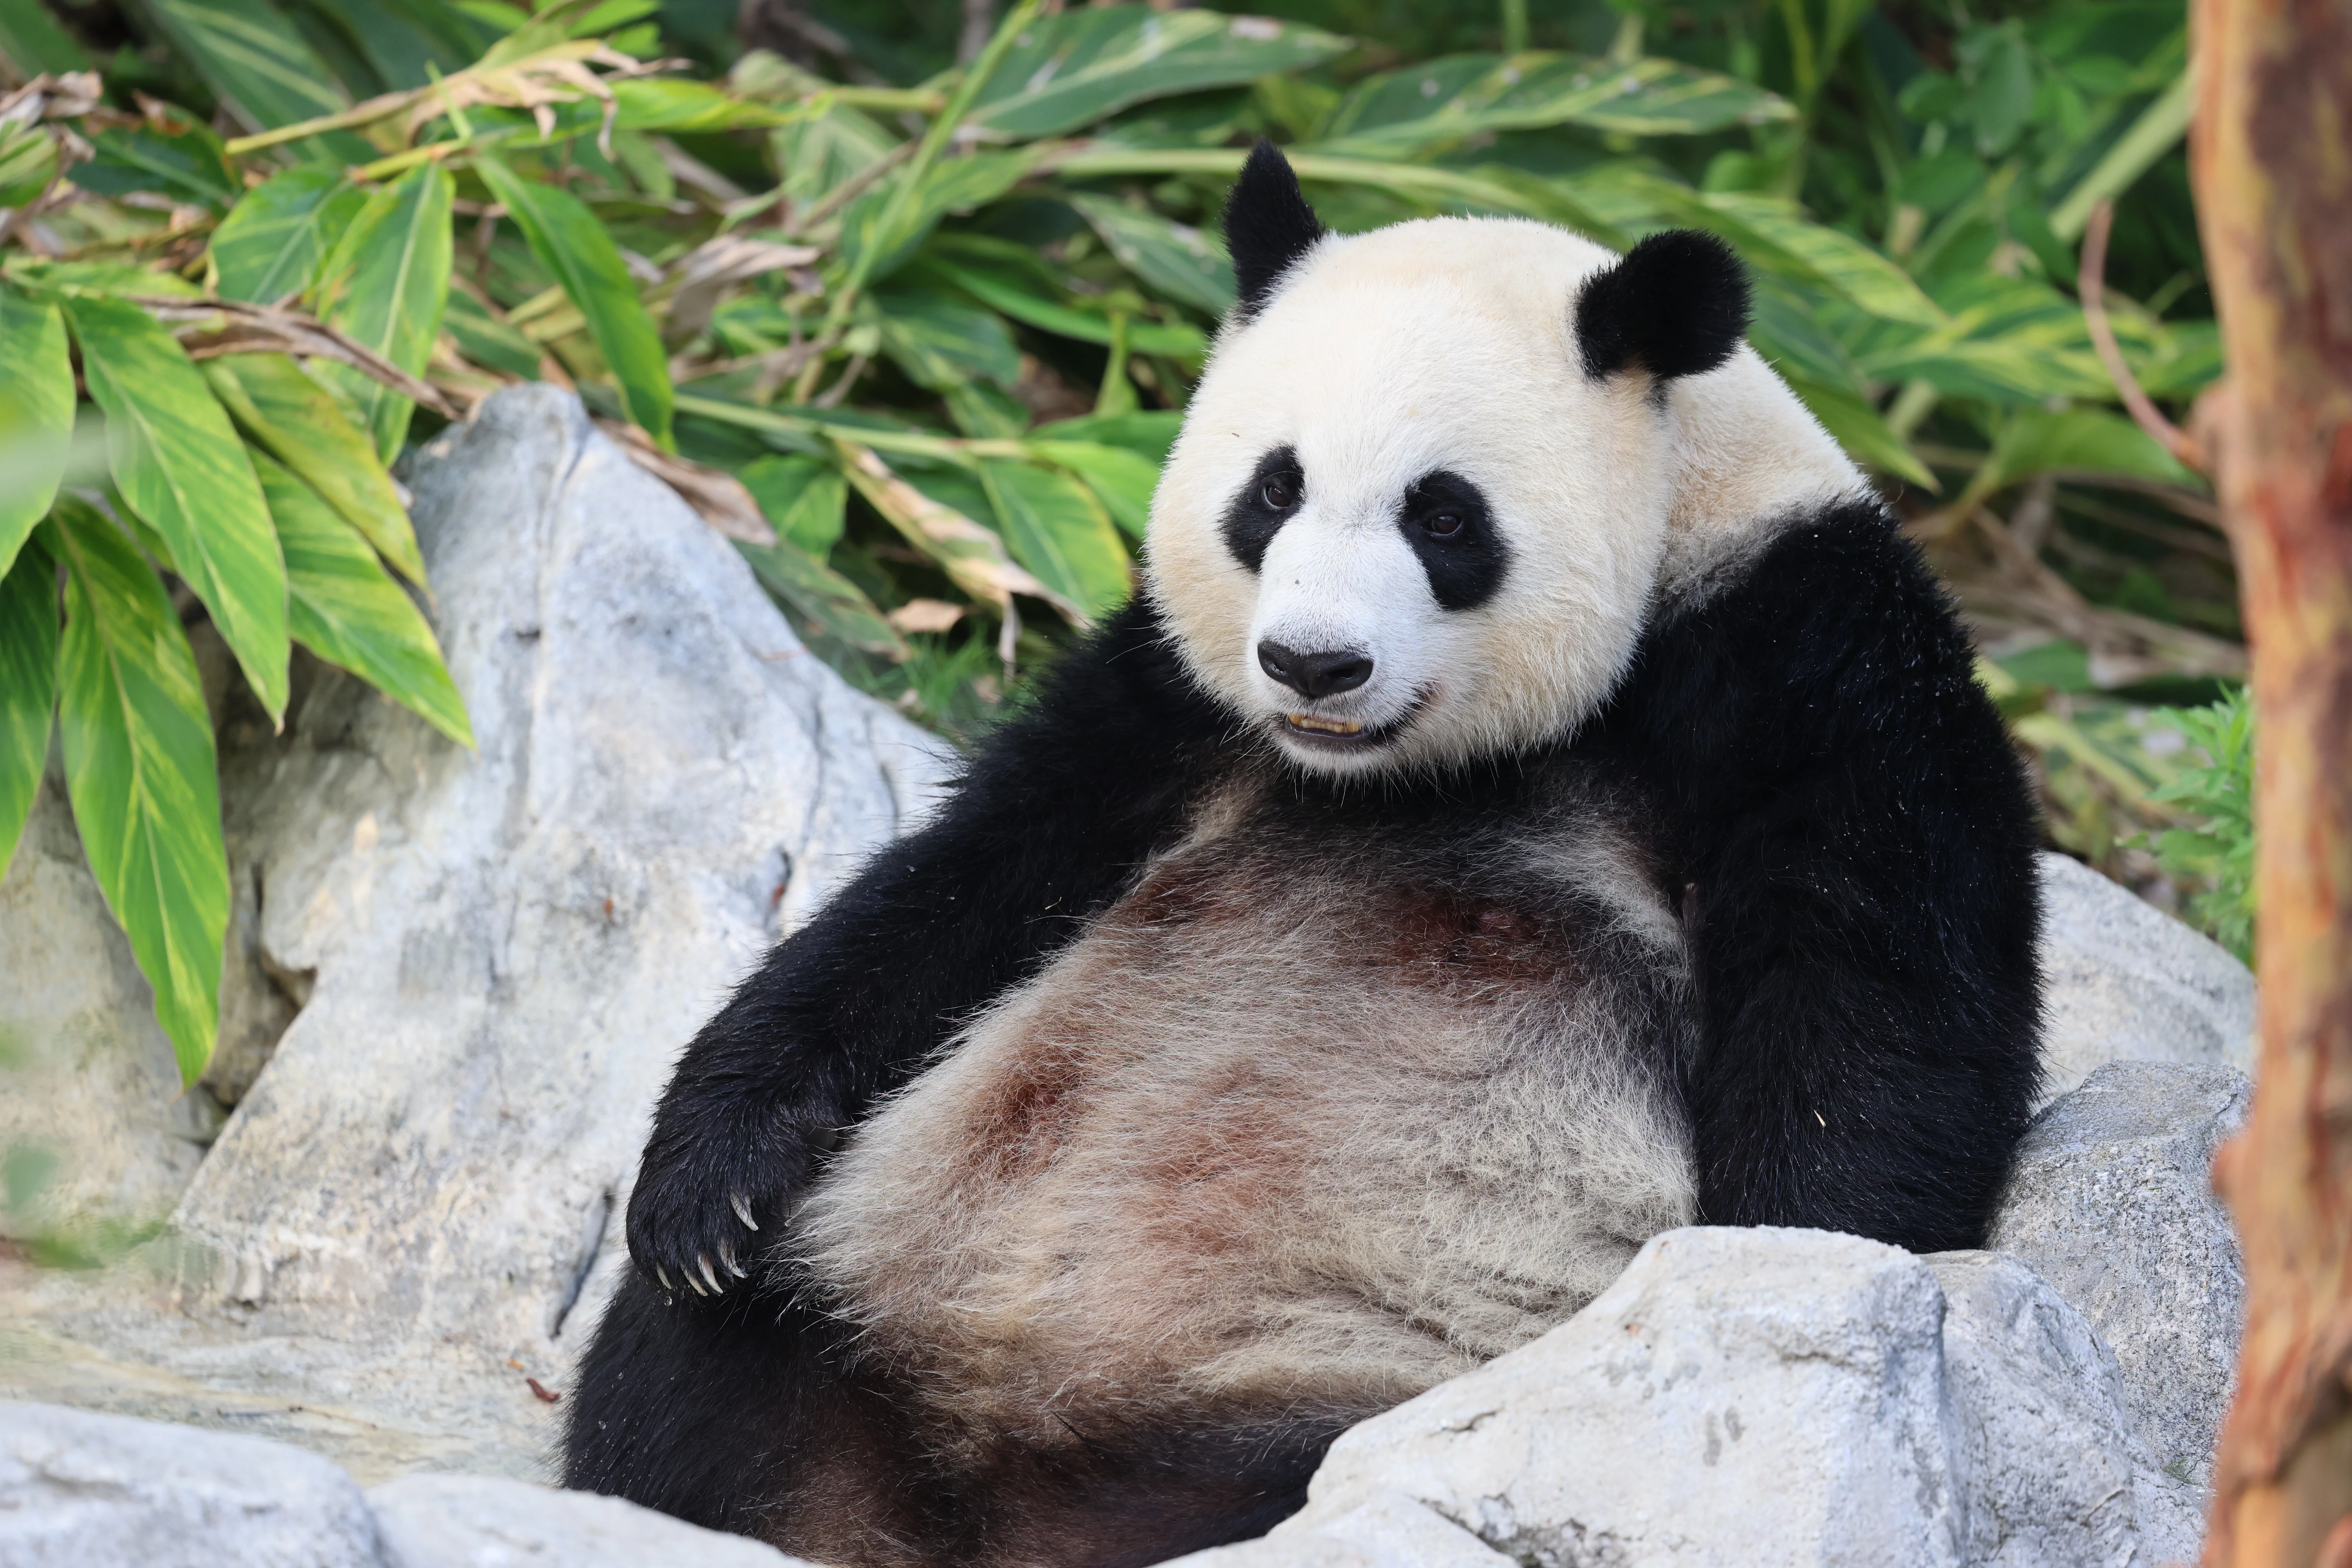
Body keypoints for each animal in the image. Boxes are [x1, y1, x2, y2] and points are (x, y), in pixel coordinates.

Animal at [563, 141, 2044, 1568]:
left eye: (1444, 517)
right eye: (1272, 490)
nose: (1312, 662)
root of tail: (989, 1507)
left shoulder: (1811, 659)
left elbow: (1870, 1026)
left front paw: (1767, 1282)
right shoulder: (1170, 707)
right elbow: (966, 883)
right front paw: (706, 1185)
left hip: (1344, 1385)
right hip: (852, 1289)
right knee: (693, 1385)